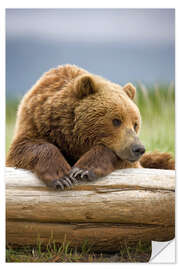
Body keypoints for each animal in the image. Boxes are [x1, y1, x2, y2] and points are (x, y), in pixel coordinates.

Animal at [5, 64, 174, 189]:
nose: (138, 148)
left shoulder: (131, 161)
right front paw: (62, 177)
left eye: (135, 124)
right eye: (116, 120)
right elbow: (24, 148)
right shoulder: (36, 121)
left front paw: (83, 170)